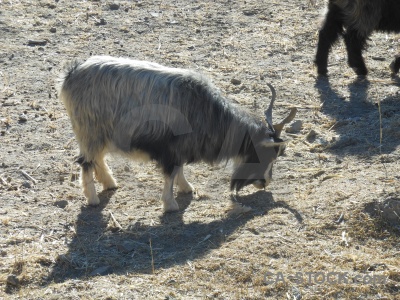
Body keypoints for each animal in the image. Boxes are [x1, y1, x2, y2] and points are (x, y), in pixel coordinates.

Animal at [60, 55, 296, 211]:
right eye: (267, 155)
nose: (265, 183)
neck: (211, 113)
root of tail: (70, 75)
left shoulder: (181, 148)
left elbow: (179, 170)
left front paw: (186, 188)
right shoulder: (171, 149)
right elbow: (171, 173)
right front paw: (171, 204)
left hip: (97, 134)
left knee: (97, 159)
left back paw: (110, 183)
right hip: (90, 131)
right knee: (86, 162)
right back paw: (93, 199)